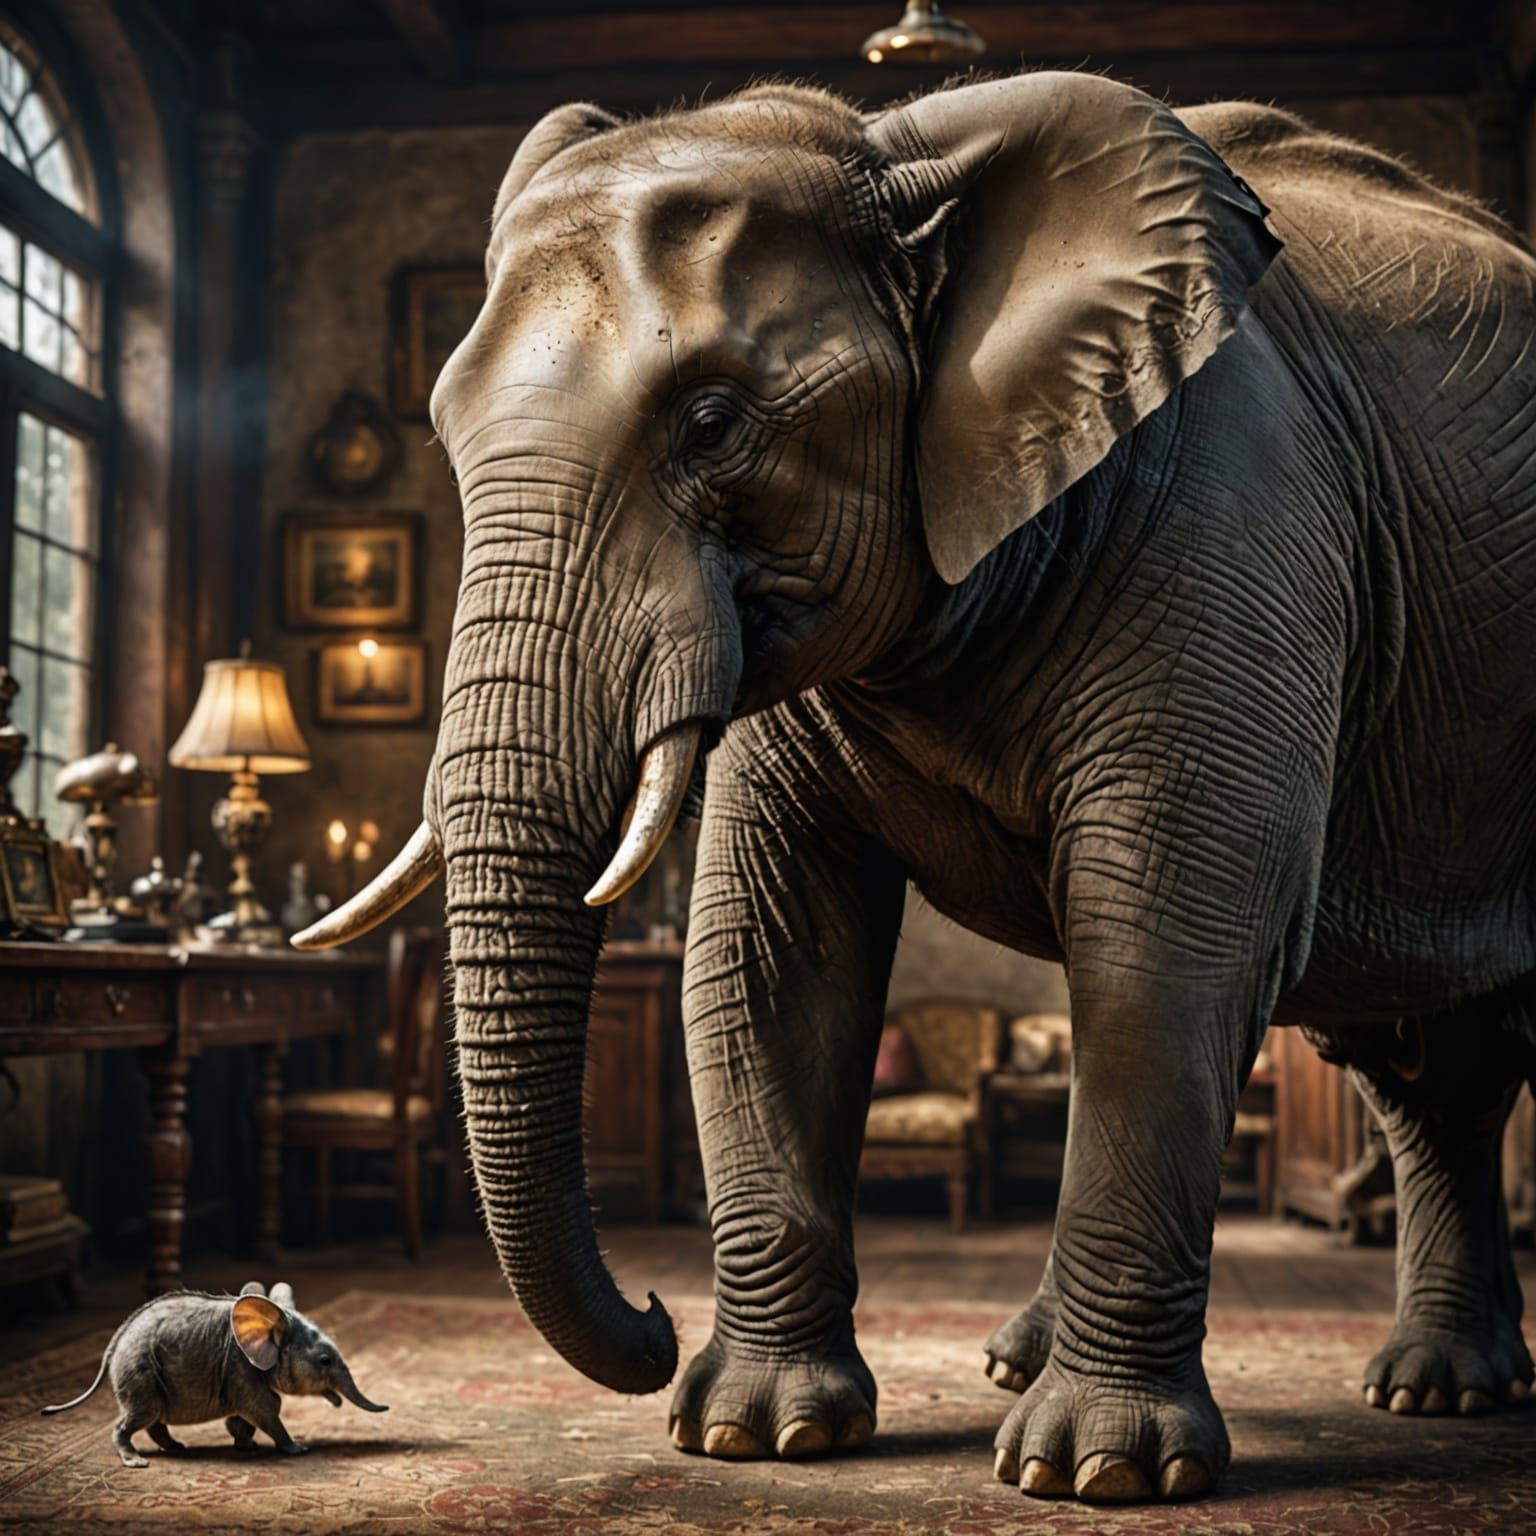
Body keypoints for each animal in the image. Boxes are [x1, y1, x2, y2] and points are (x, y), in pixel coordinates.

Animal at [295, 69, 1536, 1505]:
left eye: (714, 424)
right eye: (442, 430)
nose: (652, 1324)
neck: (899, 161)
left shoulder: (1234, 521)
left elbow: (1172, 937)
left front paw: (1092, 1474)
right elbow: (773, 946)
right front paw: (761, 1435)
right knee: (1426, 1071)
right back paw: (1419, 1390)